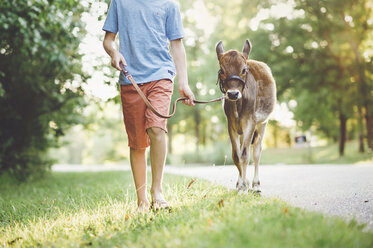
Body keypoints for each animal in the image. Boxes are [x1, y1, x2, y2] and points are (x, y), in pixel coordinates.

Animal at [215, 39, 276, 193]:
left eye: (243, 70)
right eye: (222, 70)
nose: (232, 94)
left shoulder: (250, 122)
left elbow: (245, 155)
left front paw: (244, 186)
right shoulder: (231, 124)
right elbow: (236, 155)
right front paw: (241, 184)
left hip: (262, 123)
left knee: (256, 152)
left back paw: (256, 185)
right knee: (243, 147)